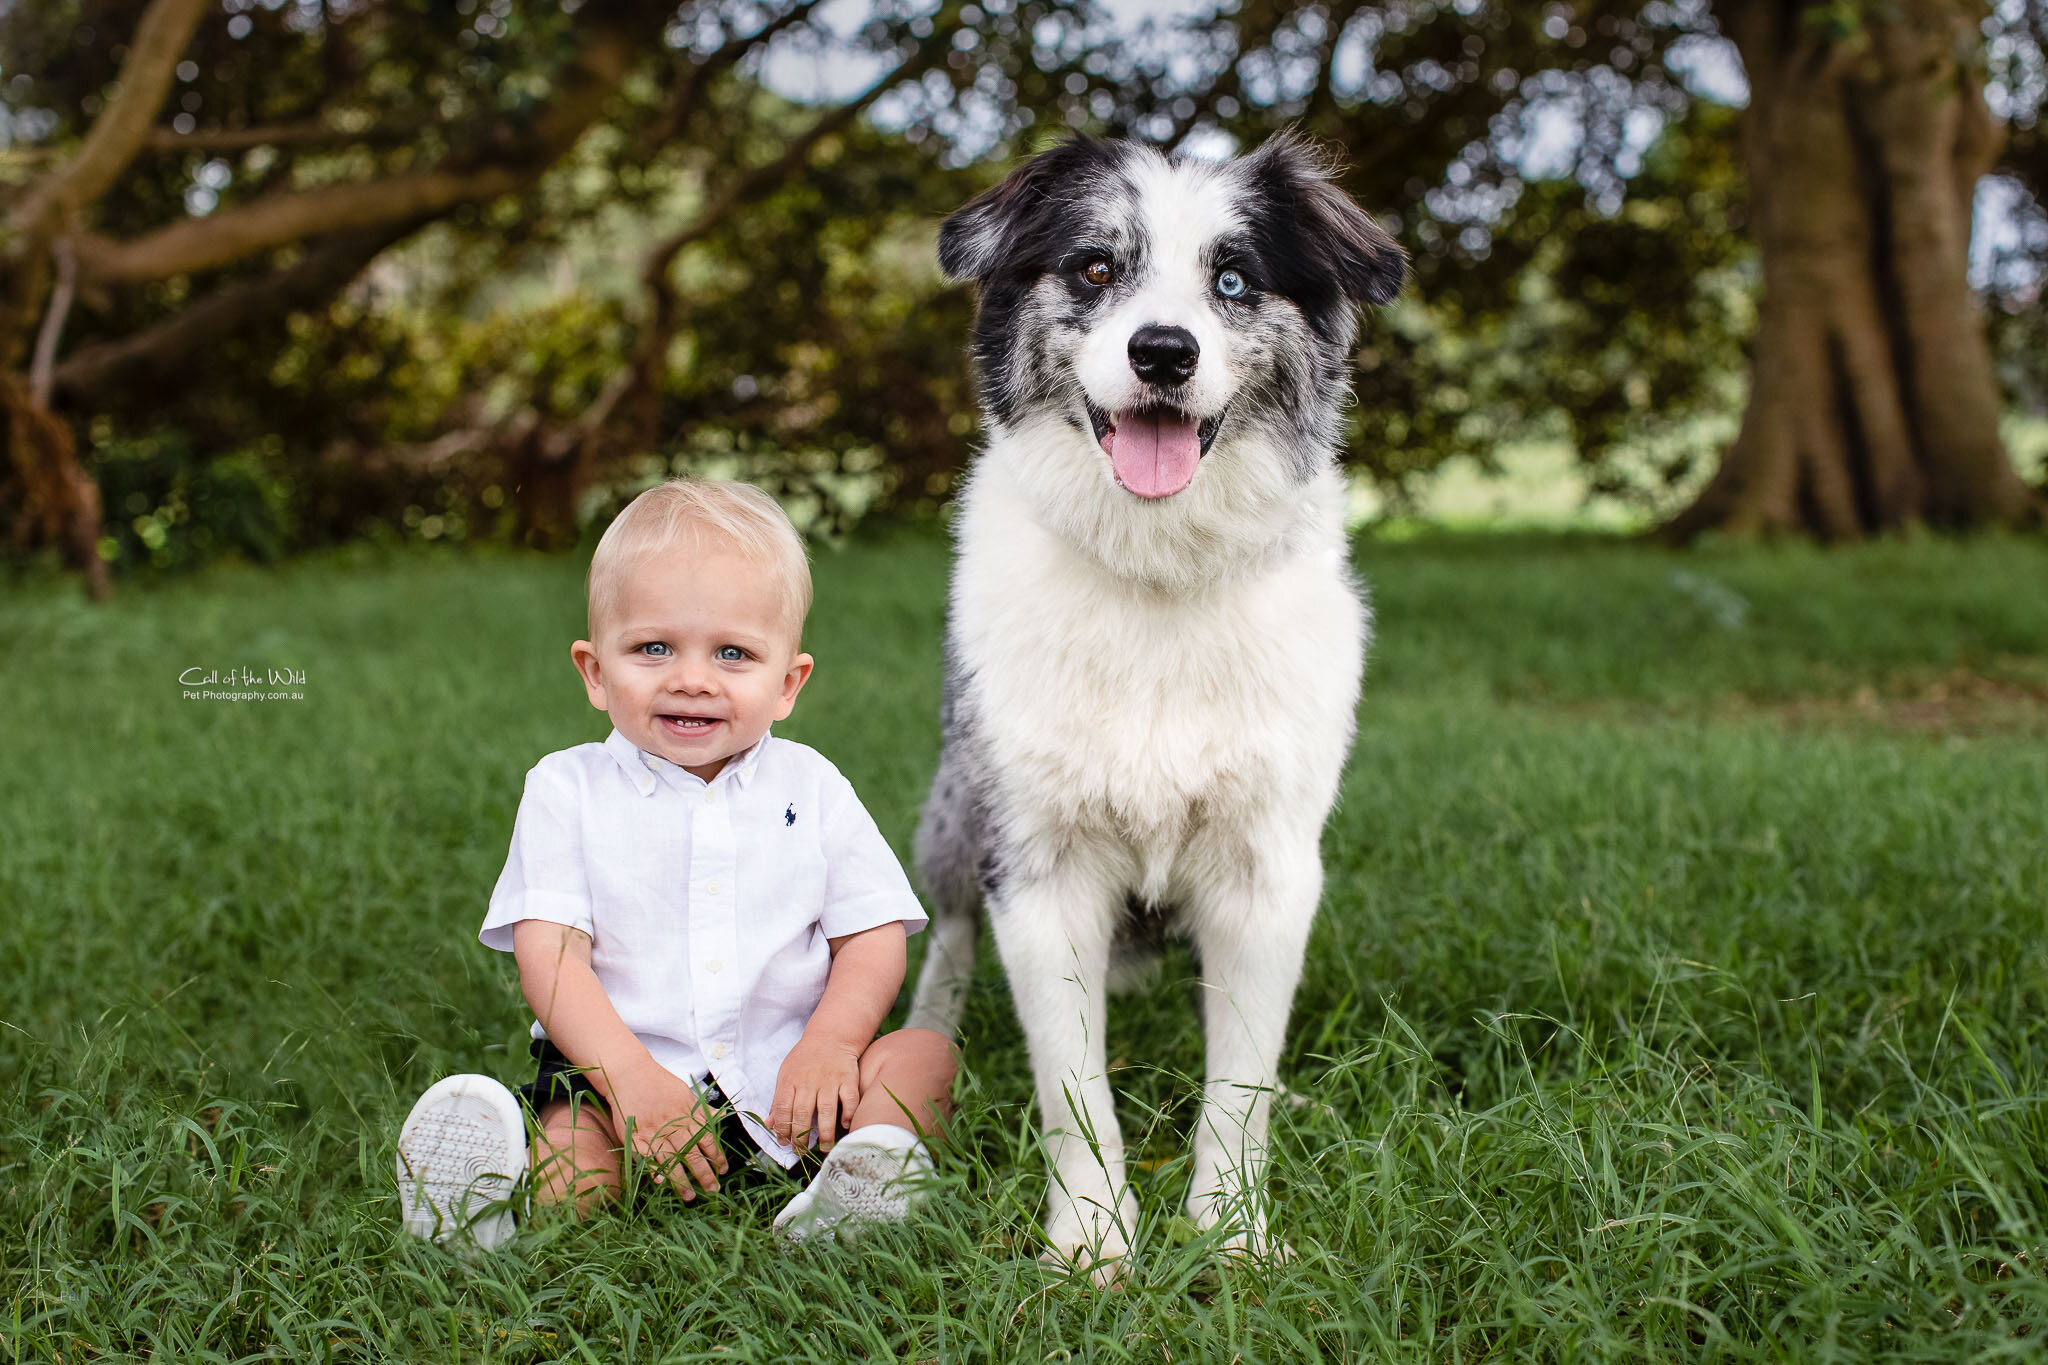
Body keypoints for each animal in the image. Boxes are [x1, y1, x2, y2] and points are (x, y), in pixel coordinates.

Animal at [913, 133, 1409, 1277]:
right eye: (1095, 267)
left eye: (1232, 280)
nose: (1163, 354)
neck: (1156, 569)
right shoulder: (1037, 867)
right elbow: (1072, 1088)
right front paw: (1092, 1244)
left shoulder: (1268, 871)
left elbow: (1240, 1081)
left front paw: (1232, 1234)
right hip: (955, 812)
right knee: (943, 934)